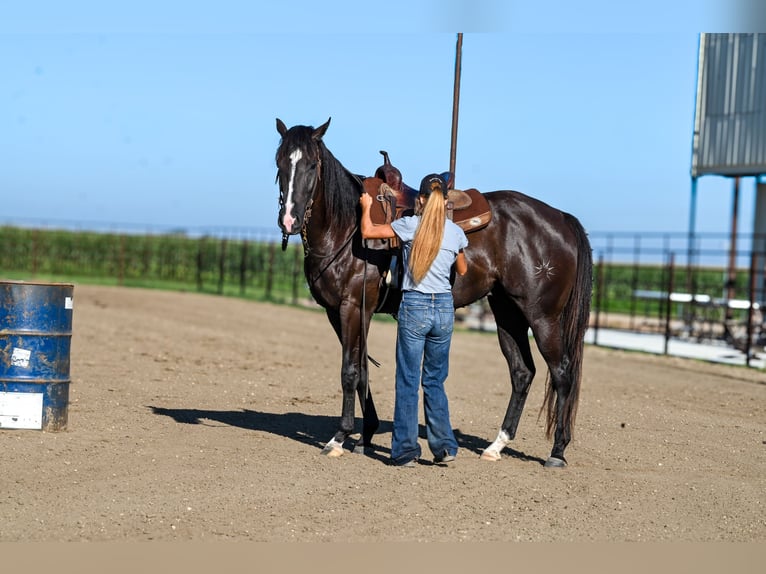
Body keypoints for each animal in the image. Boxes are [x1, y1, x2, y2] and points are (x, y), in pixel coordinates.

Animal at [274, 117, 593, 468]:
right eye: (280, 163)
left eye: (311, 164)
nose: (288, 220)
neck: (347, 227)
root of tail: (561, 218)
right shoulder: (338, 312)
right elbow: (361, 371)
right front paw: (365, 434)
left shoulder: (353, 308)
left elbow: (350, 371)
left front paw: (340, 437)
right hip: (508, 313)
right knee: (522, 373)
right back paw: (496, 446)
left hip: (542, 316)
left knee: (562, 373)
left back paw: (557, 452)